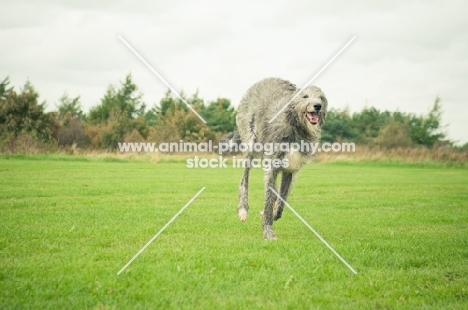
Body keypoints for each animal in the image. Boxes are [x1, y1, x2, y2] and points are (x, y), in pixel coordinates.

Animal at [227, 77, 330, 240]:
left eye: (321, 97)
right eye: (305, 96)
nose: (318, 106)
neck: (295, 126)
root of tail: (262, 81)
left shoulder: (290, 169)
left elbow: (282, 198)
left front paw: (274, 214)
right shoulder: (272, 163)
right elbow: (269, 198)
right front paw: (268, 231)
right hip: (250, 139)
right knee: (244, 178)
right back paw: (243, 210)